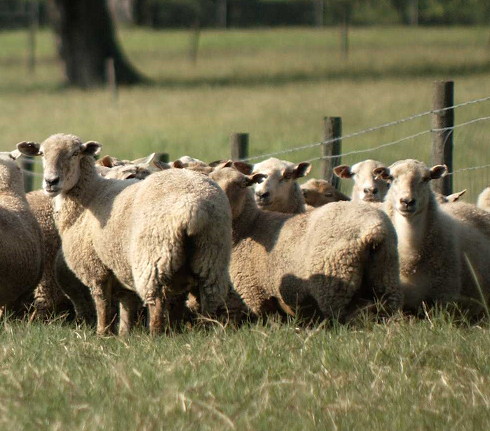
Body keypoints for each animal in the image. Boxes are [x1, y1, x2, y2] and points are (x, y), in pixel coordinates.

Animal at [17, 133, 234, 336]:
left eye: (75, 153)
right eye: (42, 154)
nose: (51, 181)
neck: (89, 196)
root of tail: (195, 207)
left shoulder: (96, 267)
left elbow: (103, 304)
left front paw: (103, 334)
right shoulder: (119, 265)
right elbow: (127, 306)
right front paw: (124, 334)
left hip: (152, 258)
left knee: (156, 301)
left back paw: (155, 336)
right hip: (212, 255)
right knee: (209, 297)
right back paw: (207, 331)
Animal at [207, 163, 402, 324]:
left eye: (241, 184)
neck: (250, 226)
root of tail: (375, 229)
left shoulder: (256, 295)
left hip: (335, 284)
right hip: (386, 277)